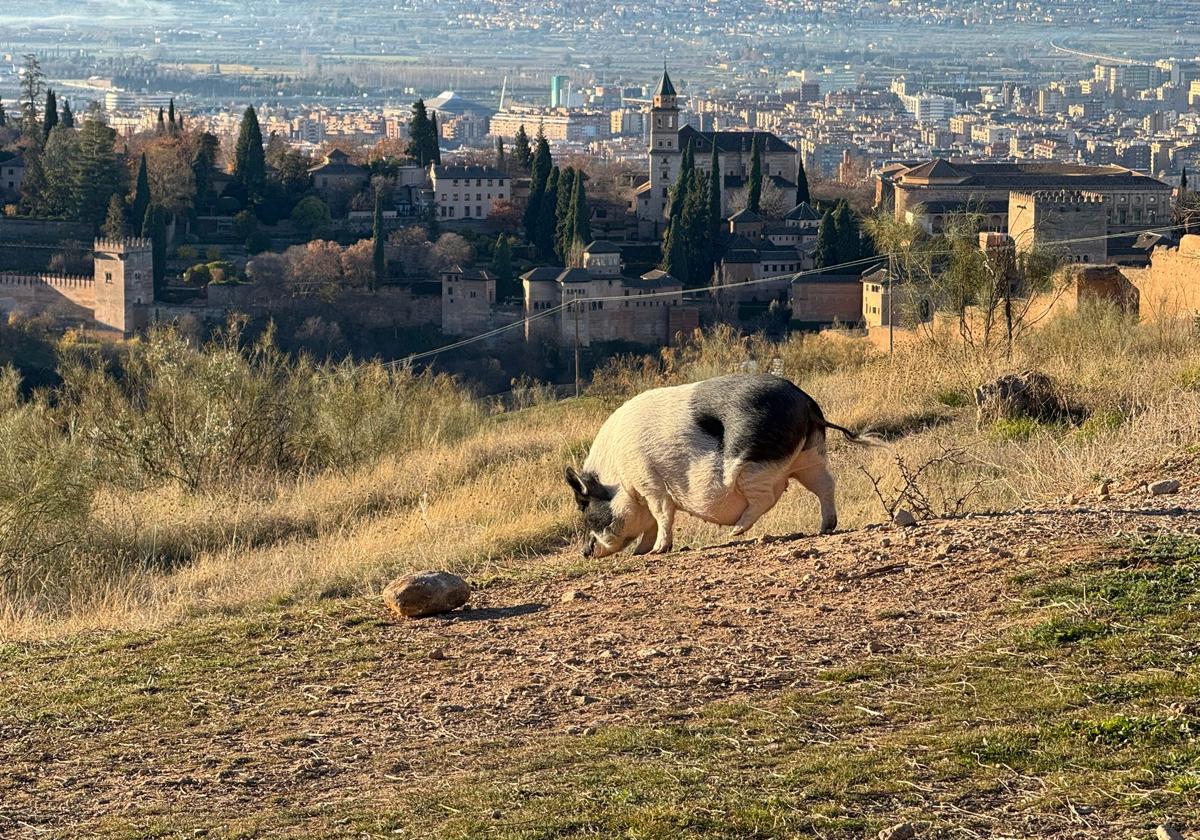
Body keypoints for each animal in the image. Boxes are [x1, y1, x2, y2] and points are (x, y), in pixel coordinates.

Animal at [566, 374, 878, 556]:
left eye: (584, 506)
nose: (584, 552)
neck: (619, 479)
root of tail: (805, 402)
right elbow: (652, 523)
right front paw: (640, 553)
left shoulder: (650, 483)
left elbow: (662, 515)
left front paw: (656, 552)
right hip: (809, 455)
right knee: (825, 484)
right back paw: (826, 527)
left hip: (752, 465)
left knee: (765, 498)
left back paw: (734, 533)